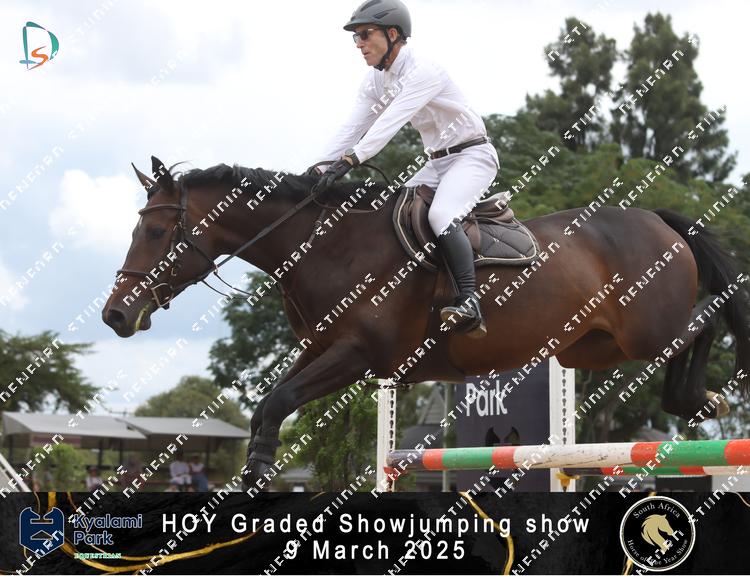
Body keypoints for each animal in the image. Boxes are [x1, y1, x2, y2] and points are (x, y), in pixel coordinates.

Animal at [102, 156, 750, 489]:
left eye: (154, 231)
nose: (115, 314)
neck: (329, 247)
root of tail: (661, 221)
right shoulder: (322, 349)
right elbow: (268, 406)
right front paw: (256, 470)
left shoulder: (358, 355)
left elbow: (279, 400)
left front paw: (258, 475)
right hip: (592, 347)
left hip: (646, 332)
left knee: (703, 323)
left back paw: (700, 399)